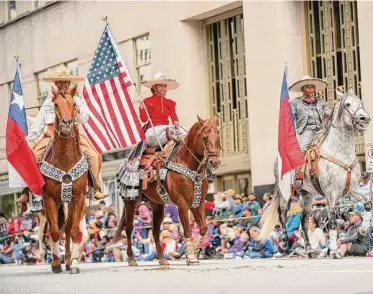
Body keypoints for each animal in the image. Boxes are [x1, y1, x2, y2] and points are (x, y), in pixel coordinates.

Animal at [41, 86, 88, 274]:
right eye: (56, 105)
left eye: (74, 104)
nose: (67, 124)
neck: (65, 158)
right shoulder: (49, 198)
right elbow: (54, 231)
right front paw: (55, 264)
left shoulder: (79, 197)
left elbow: (74, 231)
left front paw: (74, 264)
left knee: (68, 229)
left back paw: (68, 261)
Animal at [112, 115, 219, 266]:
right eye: (204, 137)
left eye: (218, 135)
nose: (214, 162)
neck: (188, 164)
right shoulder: (182, 203)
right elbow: (187, 230)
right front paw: (191, 257)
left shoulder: (199, 202)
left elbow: (203, 228)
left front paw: (193, 251)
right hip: (131, 203)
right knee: (129, 228)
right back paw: (132, 259)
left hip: (157, 205)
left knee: (155, 230)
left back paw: (162, 259)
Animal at [258, 88, 370, 258]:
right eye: (348, 104)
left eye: (361, 101)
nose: (364, 118)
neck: (340, 152)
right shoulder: (331, 194)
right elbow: (332, 221)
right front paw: (334, 251)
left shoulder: (353, 189)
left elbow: (367, 203)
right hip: (285, 194)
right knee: (282, 213)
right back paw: (283, 243)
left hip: (307, 195)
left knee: (304, 219)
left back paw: (310, 250)